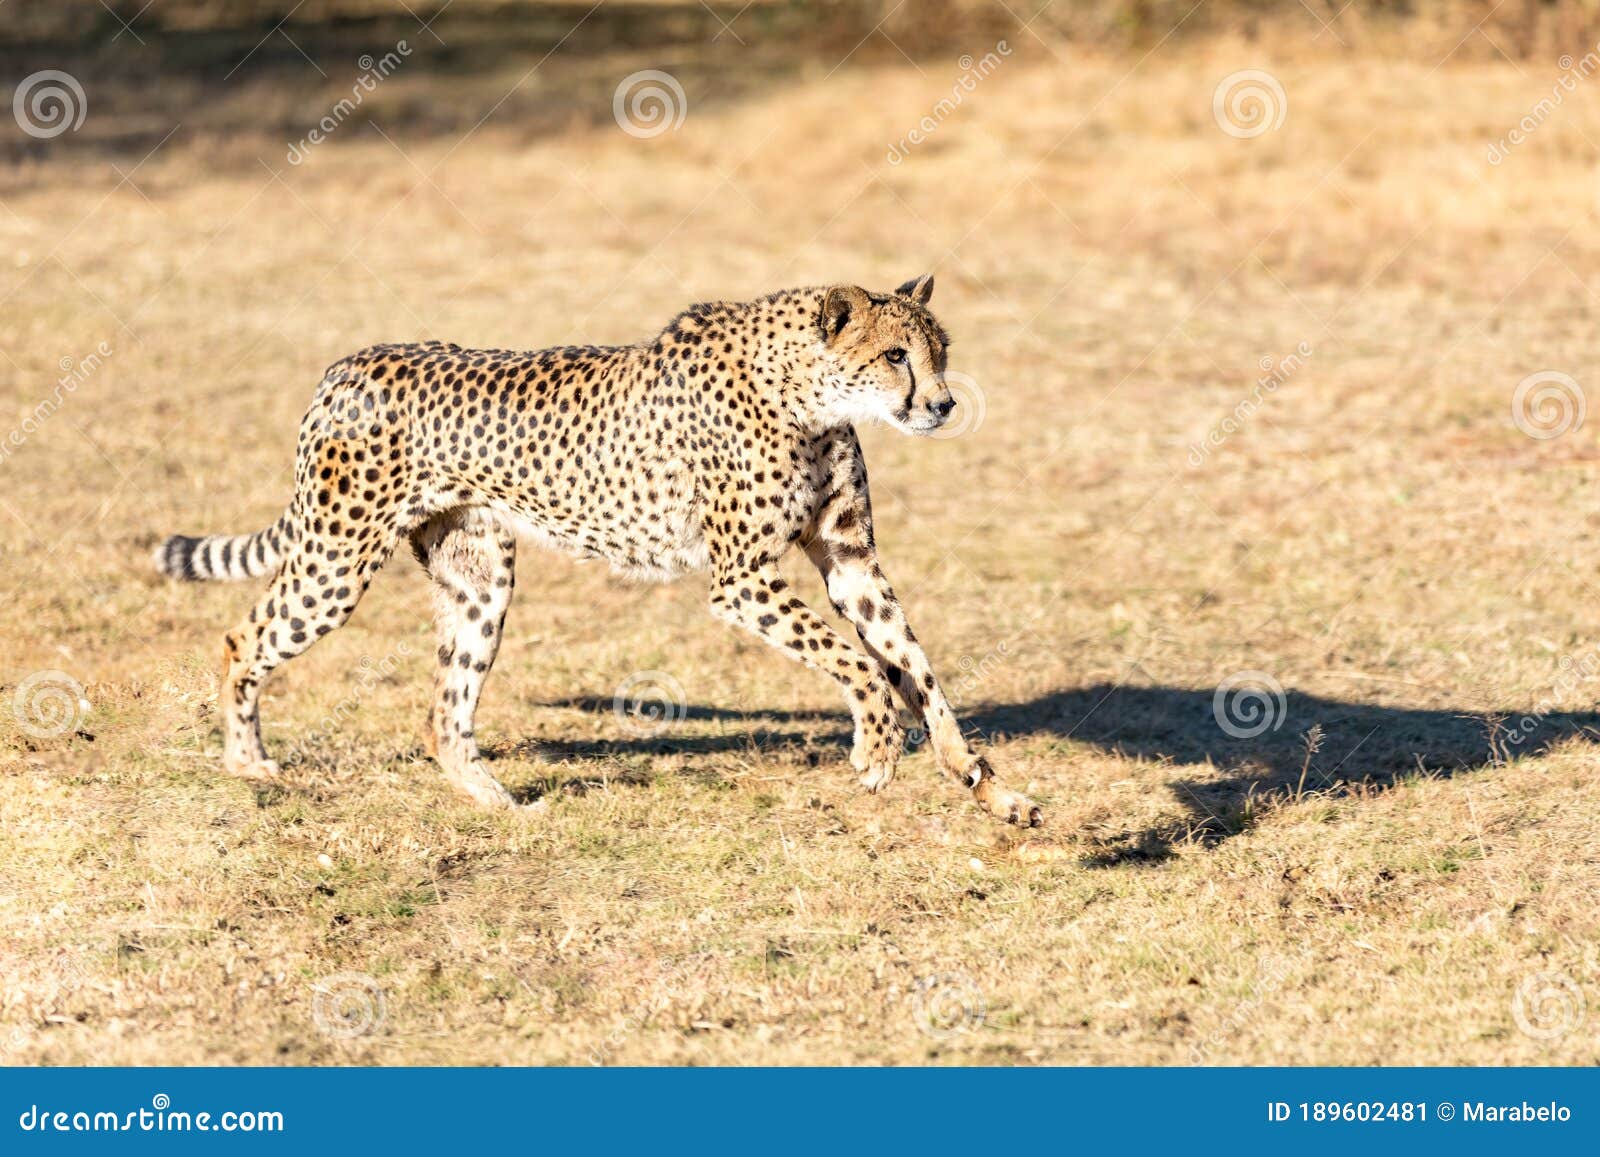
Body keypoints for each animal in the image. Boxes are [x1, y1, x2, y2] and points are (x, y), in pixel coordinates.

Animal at [156, 278, 1043, 825]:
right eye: (896, 355)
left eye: (941, 352)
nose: (943, 403)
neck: (809, 393)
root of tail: (349, 362)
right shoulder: (741, 580)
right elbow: (861, 663)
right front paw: (877, 744)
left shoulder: (851, 559)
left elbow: (919, 669)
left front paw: (988, 787)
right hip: (337, 558)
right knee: (242, 637)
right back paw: (248, 763)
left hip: (479, 578)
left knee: (444, 712)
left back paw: (496, 801)